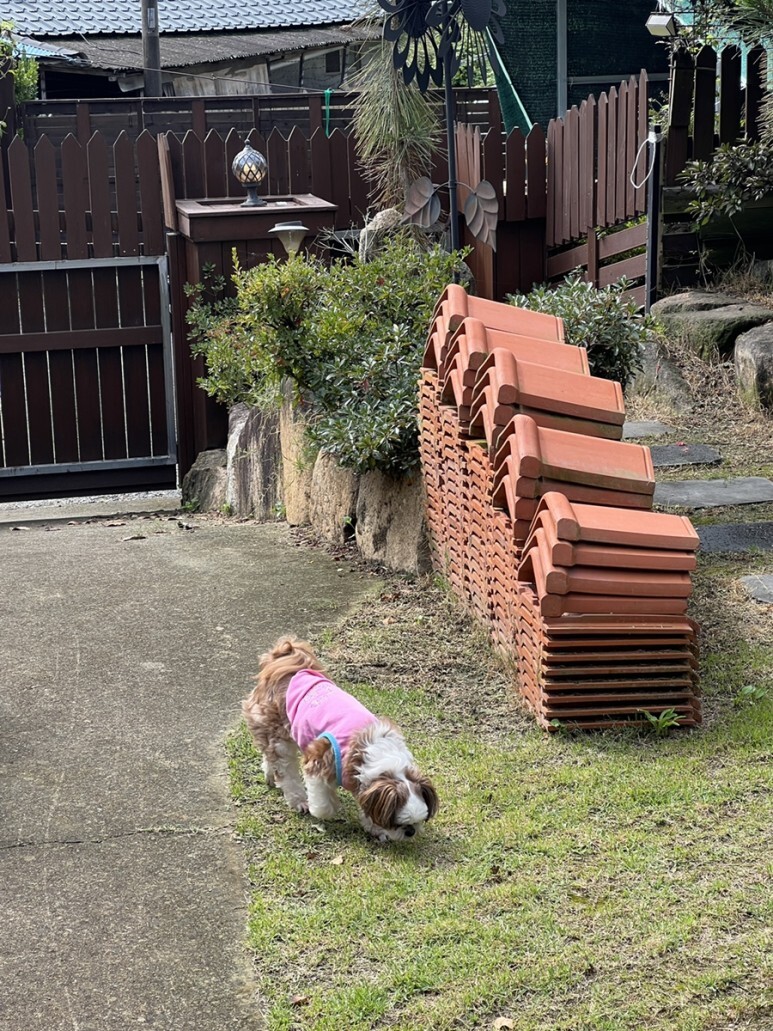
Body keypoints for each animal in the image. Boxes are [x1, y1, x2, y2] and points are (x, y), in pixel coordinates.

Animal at [241, 636, 438, 842]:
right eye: (396, 822)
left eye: (418, 821)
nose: (410, 831)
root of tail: (285, 661)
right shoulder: (319, 761)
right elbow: (323, 803)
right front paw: (325, 808)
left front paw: (375, 828)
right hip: (278, 733)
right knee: (285, 769)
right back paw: (299, 801)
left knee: (270, 755)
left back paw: (269, 775)